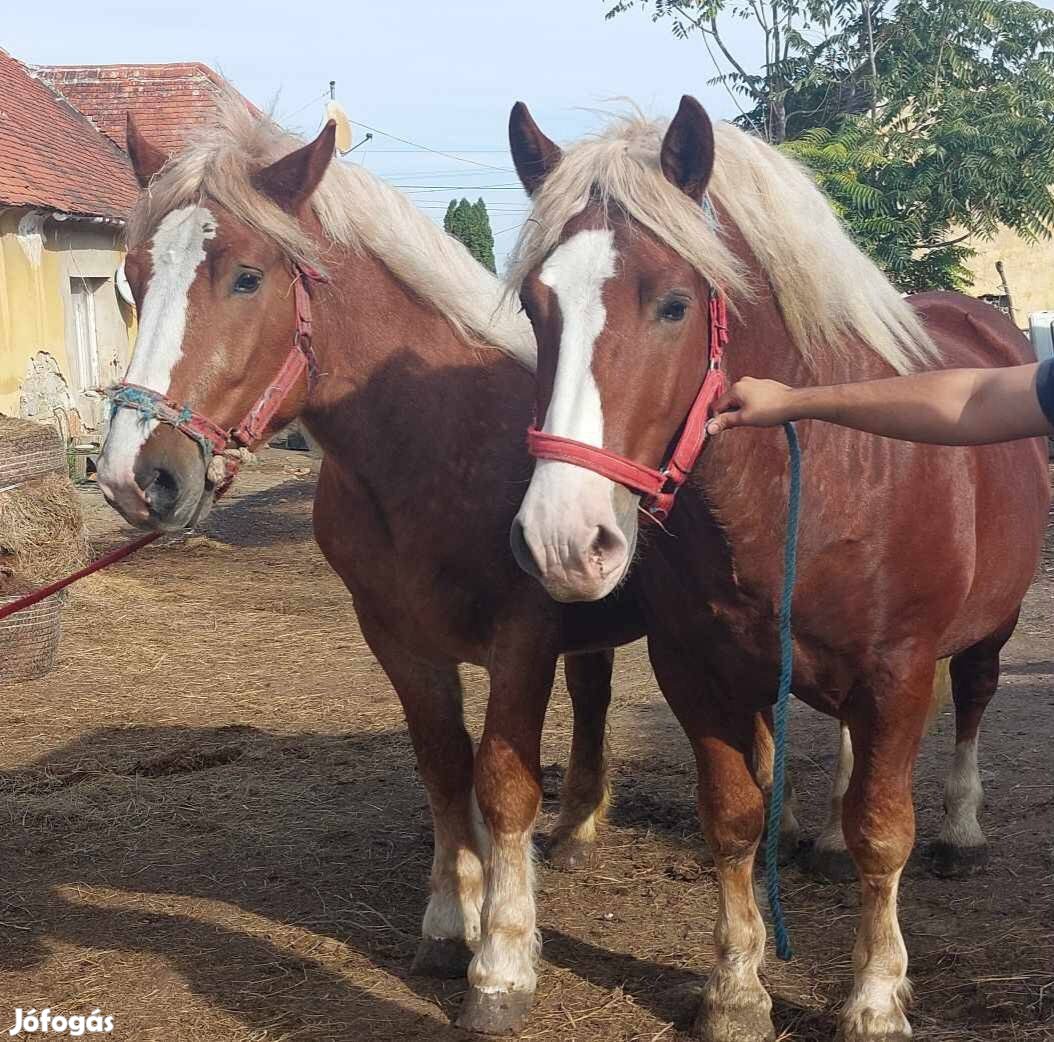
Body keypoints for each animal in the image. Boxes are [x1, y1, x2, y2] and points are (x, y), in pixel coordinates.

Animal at [96, 103, 640, 1032]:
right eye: (132, 279)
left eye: (247, 279)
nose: (139, 477)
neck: (437, 437)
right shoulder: (394, 635)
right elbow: (443, 765)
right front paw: (448, 926)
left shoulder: (523, 637)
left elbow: (501, 782)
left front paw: (501, 967)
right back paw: (575, 833)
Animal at [505, 93, 1049, 1036]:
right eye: (539, 307)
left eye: (674, 305)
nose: (565, 540)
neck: (827, 470)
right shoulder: (697, 670)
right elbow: (734, 818)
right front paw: (735, 988)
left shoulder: (899, 673)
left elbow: (884, 831)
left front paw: (875, 995)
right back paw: (818, 838)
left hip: (991, 627)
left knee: (974, 701)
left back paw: (962, 834)